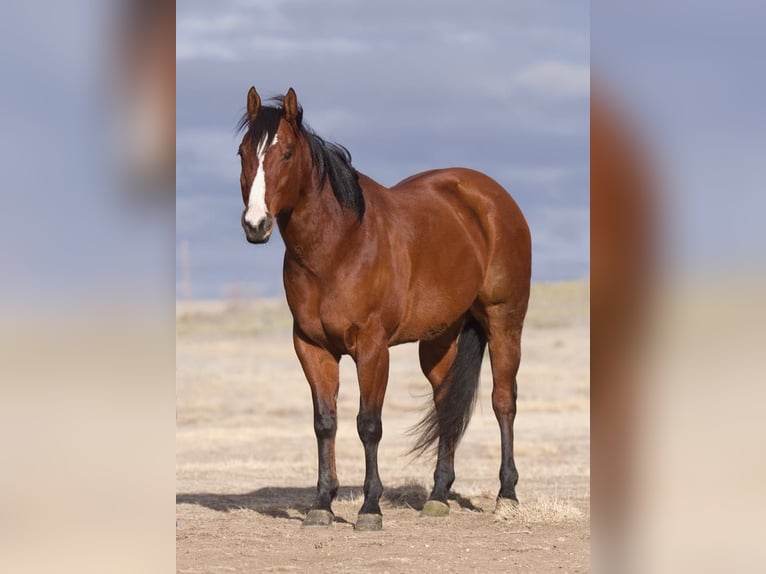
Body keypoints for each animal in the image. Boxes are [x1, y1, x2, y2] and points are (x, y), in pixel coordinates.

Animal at [236, 87, 531, 530]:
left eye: (286, 153)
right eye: (242, 153)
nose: (256, 224)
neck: (339, 245)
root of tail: (493, 198)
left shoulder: (372, 349)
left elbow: (368, 425)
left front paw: (369, 508)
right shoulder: (311, 348)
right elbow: (325, 423)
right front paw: (321, 504)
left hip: (504, 322)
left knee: (503, 401)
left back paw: (507, 496)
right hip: (439, 341)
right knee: (446, 404)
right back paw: (438, 496)